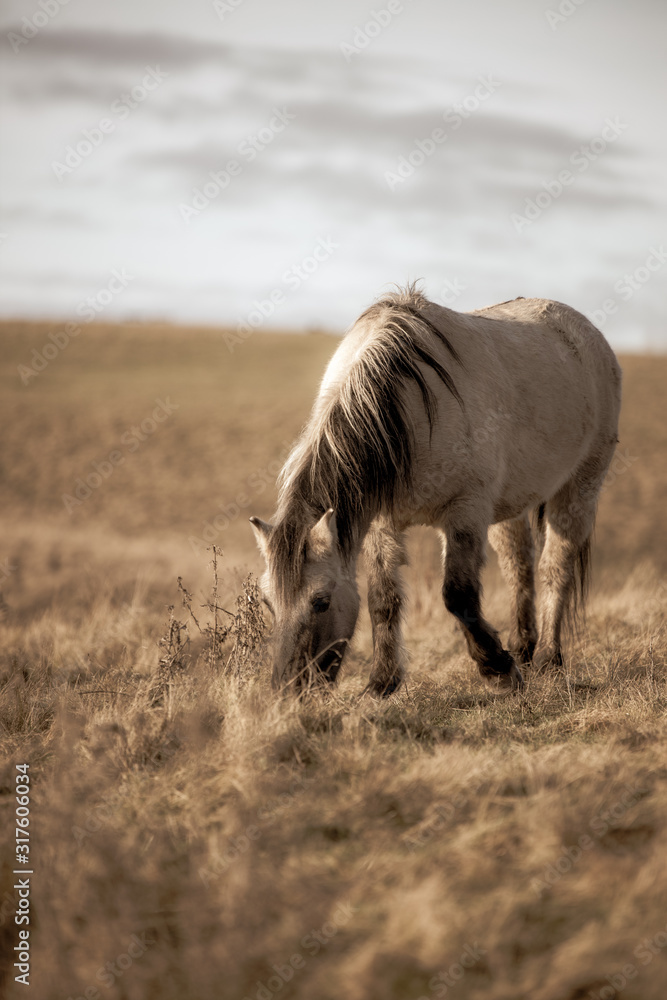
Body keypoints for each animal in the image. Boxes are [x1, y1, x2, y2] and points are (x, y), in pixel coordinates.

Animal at [250, 284, 621, 696]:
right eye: (267, 602)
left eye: (321, 601)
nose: (287, 690)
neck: (405, 411)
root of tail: (585, 332)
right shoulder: (382, 522)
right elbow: (383, 598)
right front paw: (382, 682)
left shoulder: (465, 512)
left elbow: (459, 594)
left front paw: (498, 670)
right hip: (510, 505)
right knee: (518, 565)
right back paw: (523, 647)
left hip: (579, 490)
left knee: (555, 567)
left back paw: (548, 660)